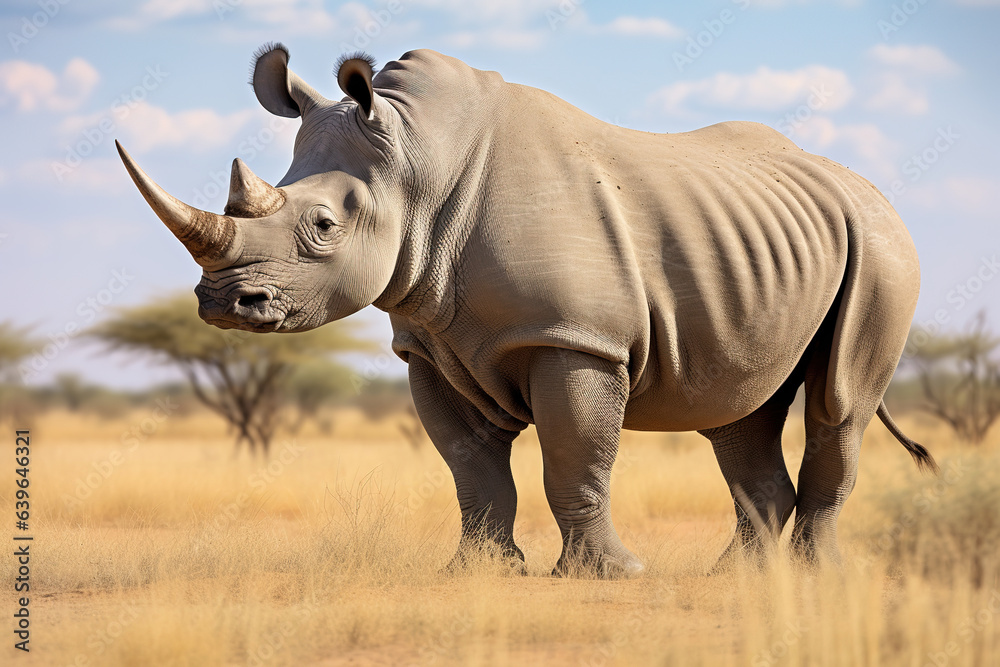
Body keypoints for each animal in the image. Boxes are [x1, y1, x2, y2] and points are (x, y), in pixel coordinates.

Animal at [117, 45, 935, 577]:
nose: (224, 303)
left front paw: (607, 577)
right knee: (737, 408)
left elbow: (576, 454)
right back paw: (736, 577)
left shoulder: (575, 337)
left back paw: (816, 578)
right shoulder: (431, 339)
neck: (417, 162)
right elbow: (470, 464)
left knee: (838, 402)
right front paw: (479, 571)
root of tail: (866, 190)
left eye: (322, 226)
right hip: (762, 246)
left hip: (884, 247)